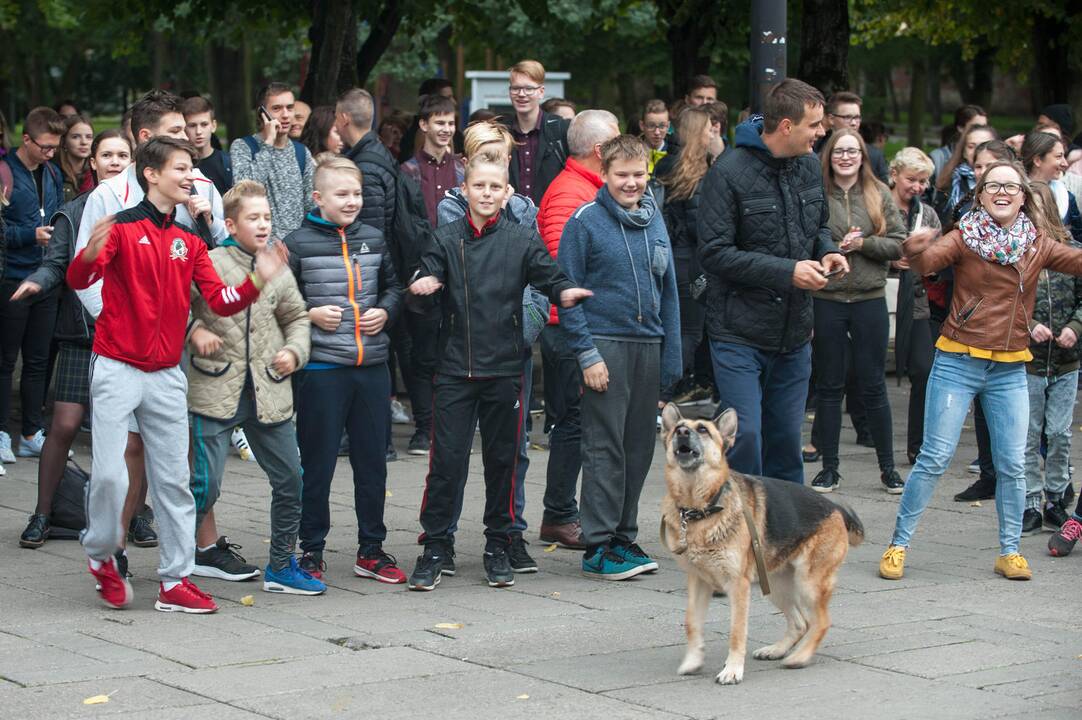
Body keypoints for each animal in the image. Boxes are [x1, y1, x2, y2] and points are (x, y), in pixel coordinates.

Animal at [653, 404, 865, 684]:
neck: (701, 509)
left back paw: (799, 657)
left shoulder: (738, 586)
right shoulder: (698, 582)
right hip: (776, 585)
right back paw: (777, 650)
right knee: (801, 623)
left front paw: (732, 669)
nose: (682, 433)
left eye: (702, 429)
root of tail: (836, 508)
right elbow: (692, 622)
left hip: (808, 584)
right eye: (678, 428)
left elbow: (736, 631)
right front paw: (693, 660)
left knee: (821, 622)